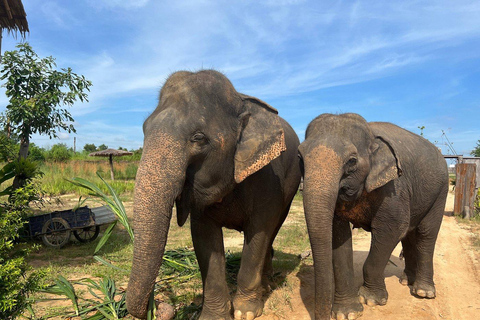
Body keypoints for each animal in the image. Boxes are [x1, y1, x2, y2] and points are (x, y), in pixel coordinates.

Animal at [125, 70, 302, 320]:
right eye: (144, 129)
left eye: (198, 138)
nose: (157, 306)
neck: (239, 100)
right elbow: (204, 237)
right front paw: (214, 317)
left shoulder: (268, 178)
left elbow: (259, 232)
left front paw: (245, 312)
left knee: (273, 230)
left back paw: (266, 285)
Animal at [300, 113, 450, 320]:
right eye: (299, 157)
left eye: (352, 160)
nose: (324, 315)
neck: (371, 136)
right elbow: (338, 236)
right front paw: (347, 313)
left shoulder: (394, 187)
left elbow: (392, 229)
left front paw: (370, 300)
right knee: (410, 235)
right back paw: (406, 281)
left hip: (441, 190)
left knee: (426, 234)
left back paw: (423, 292)